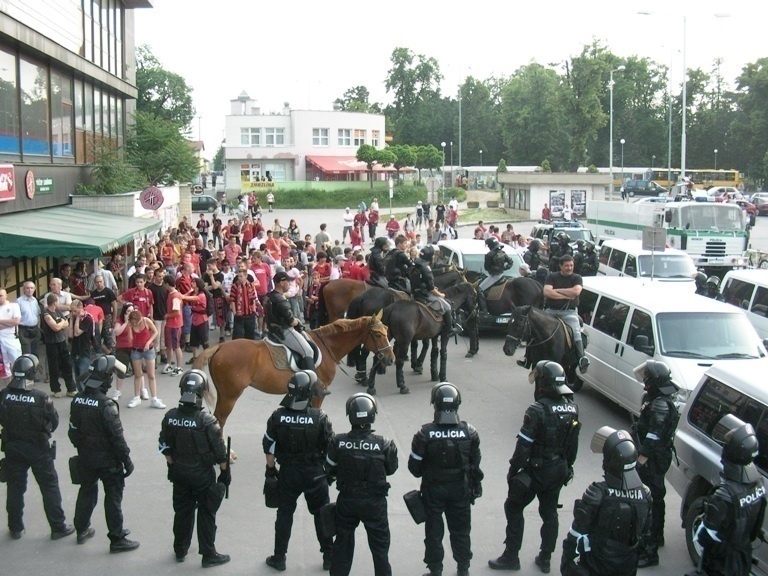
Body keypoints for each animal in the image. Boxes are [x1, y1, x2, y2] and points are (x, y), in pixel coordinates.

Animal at [192, 312, 396, 430]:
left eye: (387, 330)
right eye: (378, 334)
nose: (390, 358)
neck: (327, 346)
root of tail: (219, 347)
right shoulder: (319, 394)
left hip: (224, 394)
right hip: (230, 396)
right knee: (219, 419)